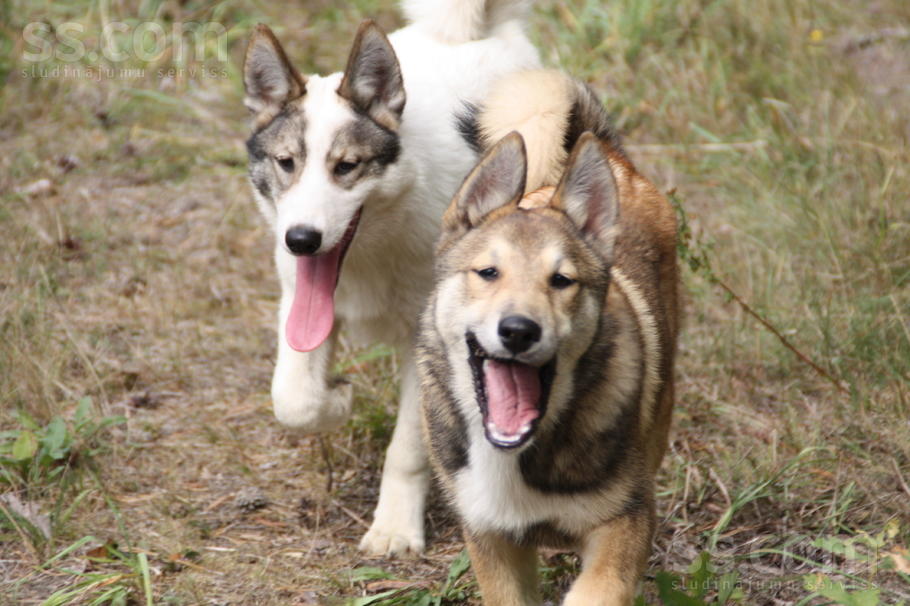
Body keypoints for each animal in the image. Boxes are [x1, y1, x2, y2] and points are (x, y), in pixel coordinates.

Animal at [242, 0, 540, 560]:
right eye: (286, 163)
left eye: (347, 167)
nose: (301, 240)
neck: (368, 255)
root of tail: (476, 32)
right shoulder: (298, 306)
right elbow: (293, 399)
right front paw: (338, 397)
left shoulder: (428, 346)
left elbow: (406, 449)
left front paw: (395, 530)